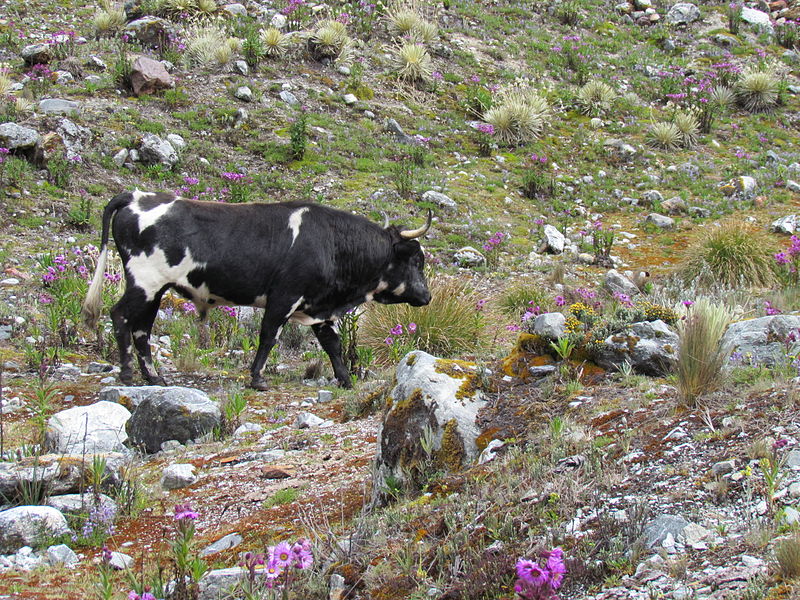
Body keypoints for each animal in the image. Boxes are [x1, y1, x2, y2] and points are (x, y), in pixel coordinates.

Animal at [81, 190, 432, 392]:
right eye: (416, 259)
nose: (427, 297)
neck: (330, 243)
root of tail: (136, 197)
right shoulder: (284, 297)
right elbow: (269, 336)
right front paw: (257, 378)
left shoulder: (318, 308)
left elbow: (333, 345)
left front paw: (345, 380)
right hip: (144, 283)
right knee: (120, 316)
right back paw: (128, 373)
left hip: (155, 291)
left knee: (142, 328)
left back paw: (154, 377)